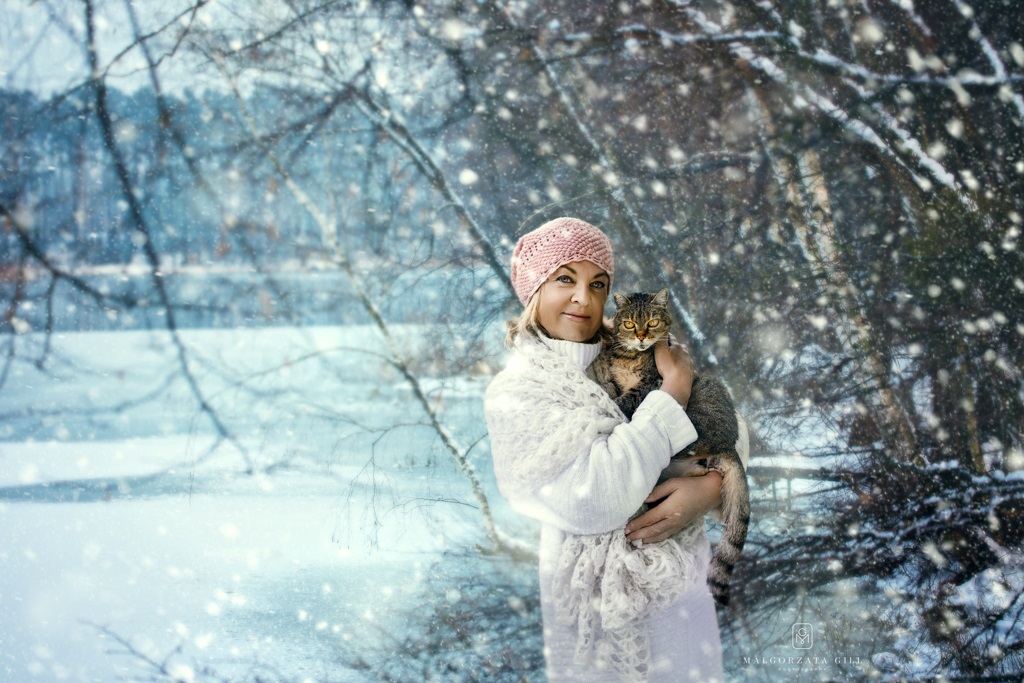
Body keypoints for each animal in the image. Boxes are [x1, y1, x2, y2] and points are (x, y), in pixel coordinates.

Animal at [593, 288, 753, 610]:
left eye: (652, 322)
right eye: (630, 324)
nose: (642, 337)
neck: (630, 356)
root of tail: (728, 443)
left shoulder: (650, 385)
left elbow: (625, 401)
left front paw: (614, 403)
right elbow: (613, 387)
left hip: (701, 403)